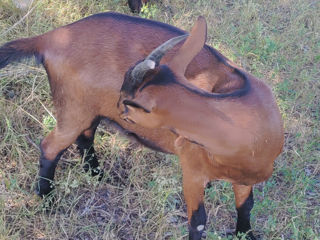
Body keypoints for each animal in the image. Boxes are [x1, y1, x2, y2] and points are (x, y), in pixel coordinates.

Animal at [119, 15, 284, 239]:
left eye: (129, 111)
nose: (118, 110)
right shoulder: (192, 170)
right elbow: (197, 222)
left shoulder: (245, 179)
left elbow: (246, 205)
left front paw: (246, 233)